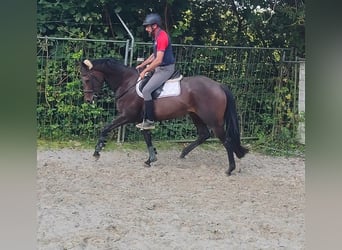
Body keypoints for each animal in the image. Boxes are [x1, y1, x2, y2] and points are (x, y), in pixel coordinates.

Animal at [81, 58, 250, 176]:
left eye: (87, 79)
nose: (88, 100)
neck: (127, 83)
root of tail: (218, 85)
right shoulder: (143, 120)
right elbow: (147, 137)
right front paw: (150, 159)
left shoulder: (127, 116)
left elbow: (105, 128)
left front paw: (97, 151)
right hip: (195, 115)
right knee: (203, 134)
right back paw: (183, 153)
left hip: (214, 121)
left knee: (226, 141)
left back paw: (230, 169)